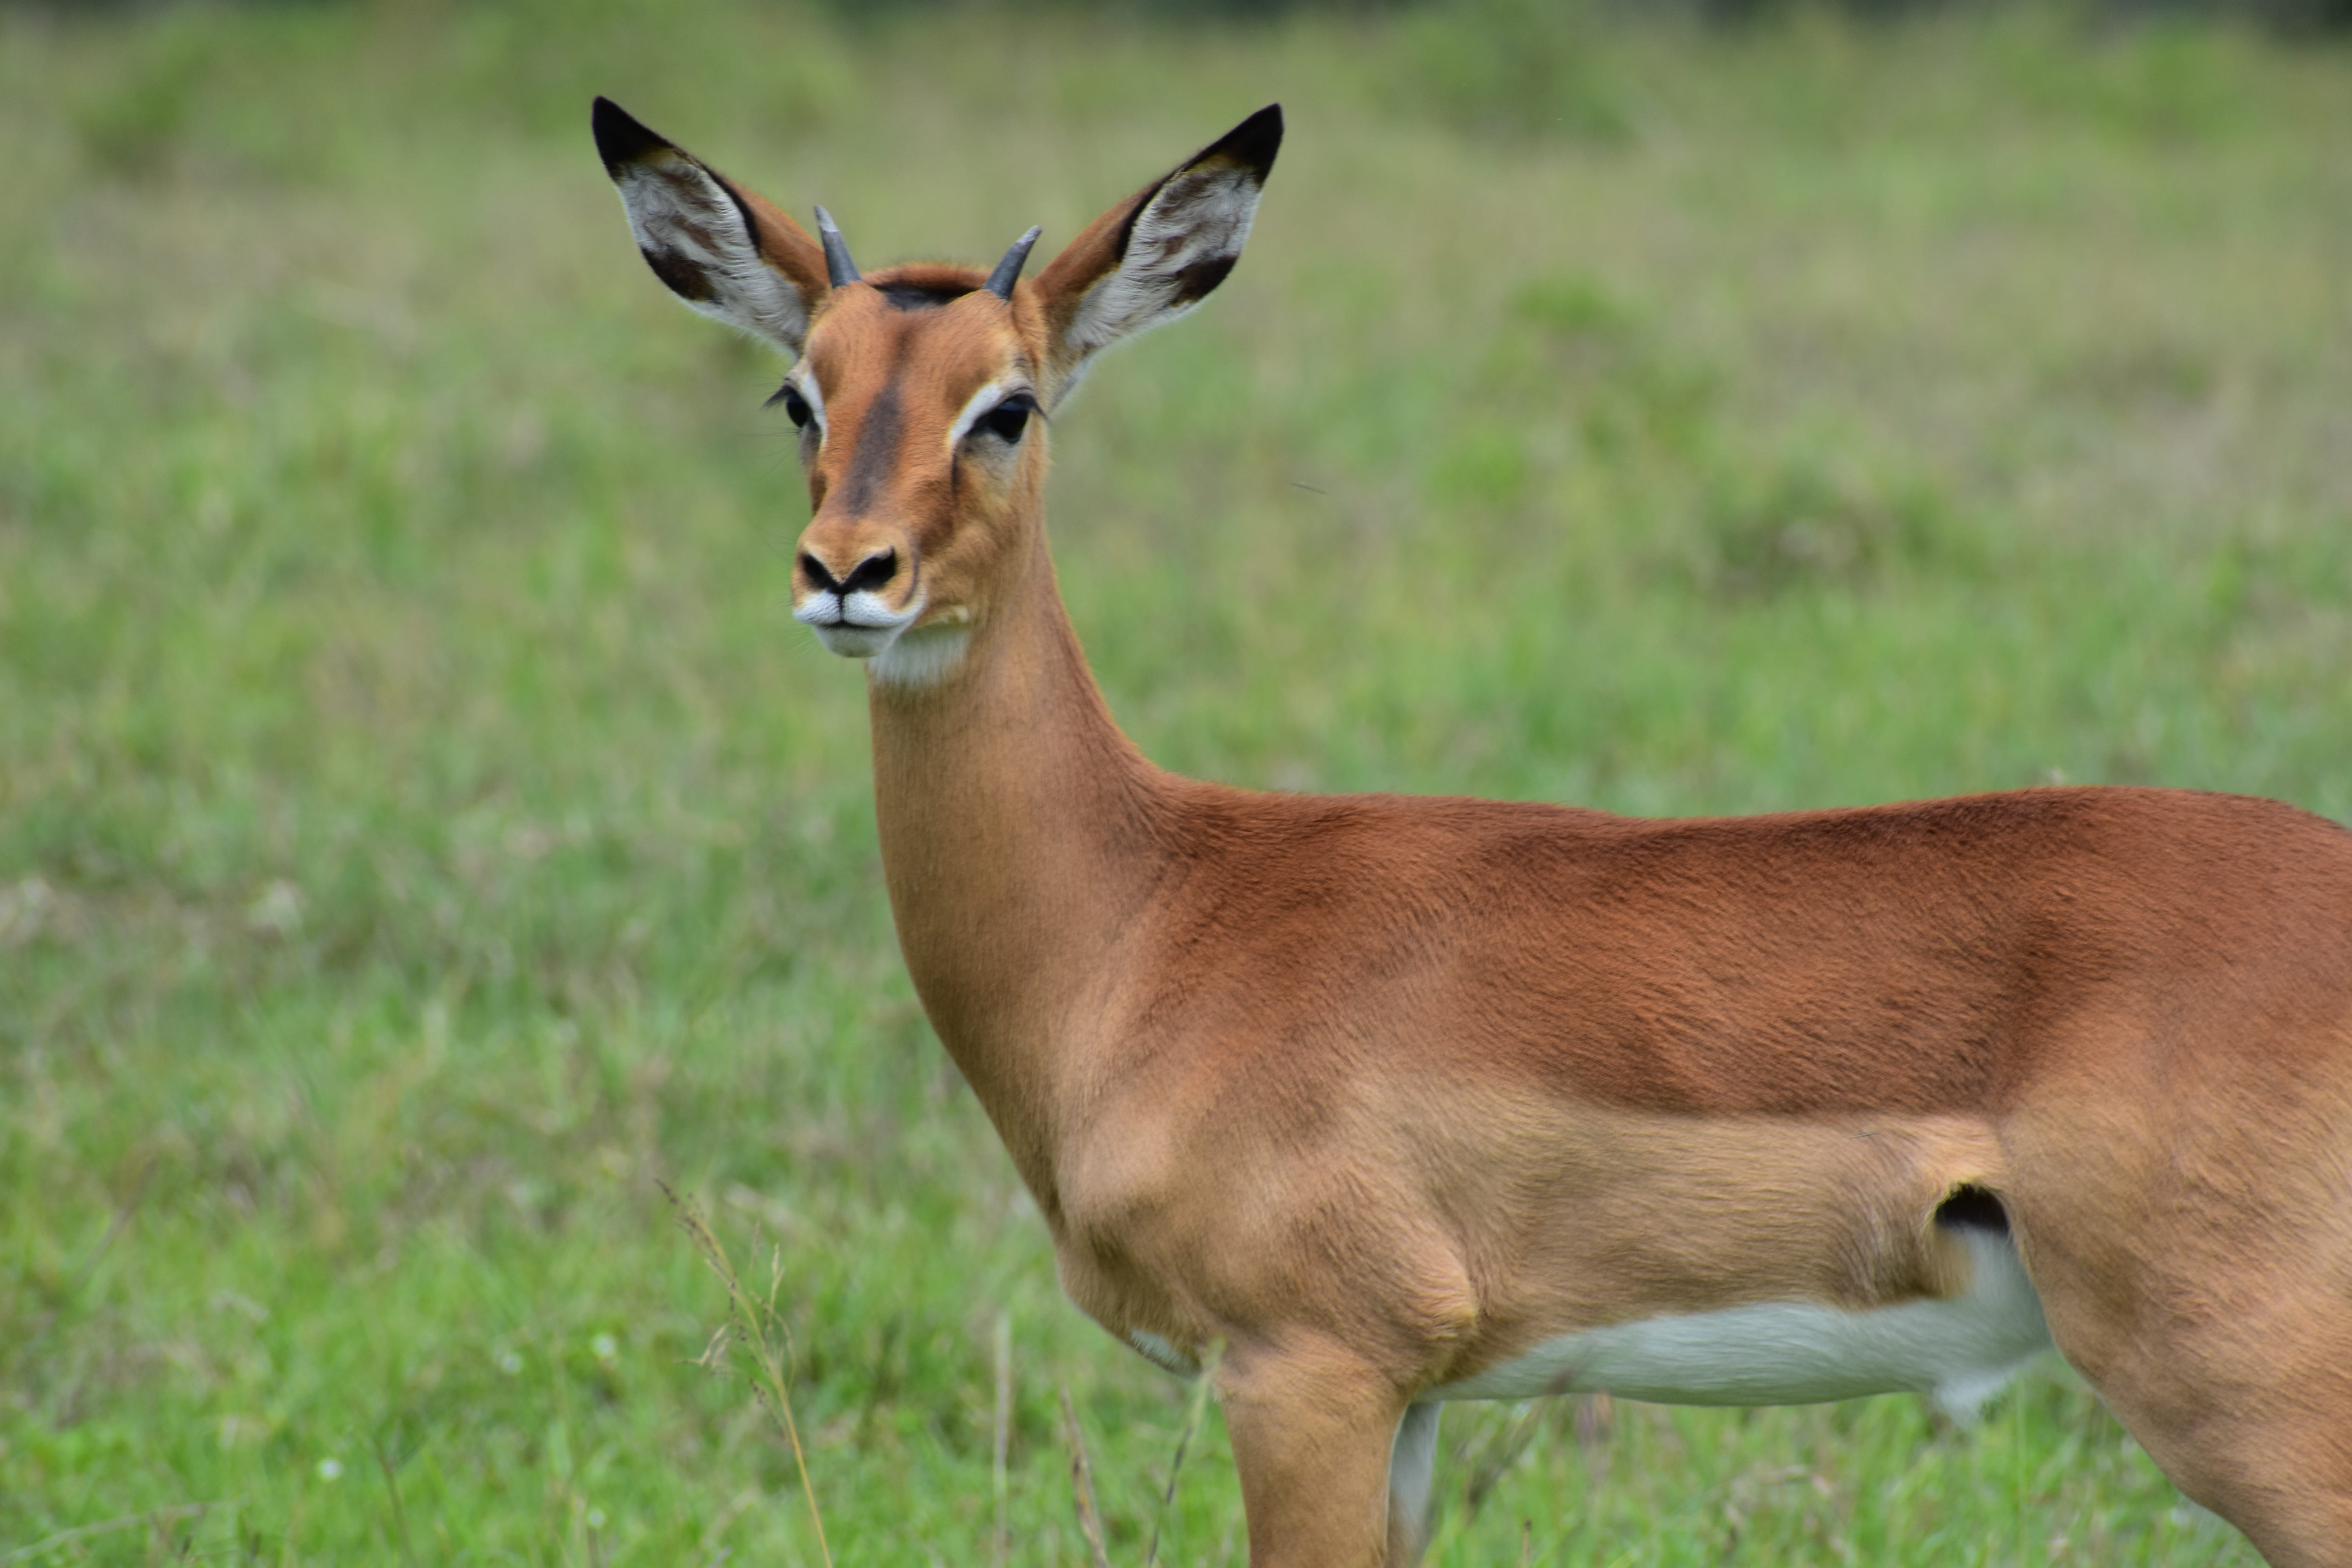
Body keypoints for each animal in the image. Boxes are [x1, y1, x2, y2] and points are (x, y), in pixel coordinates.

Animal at [591, 97, 2352, 1566]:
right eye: (799, 393)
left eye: (1007, 407)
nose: (847, 574)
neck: (1151, 915)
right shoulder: (1415, 1403)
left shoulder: (1304, 1368)